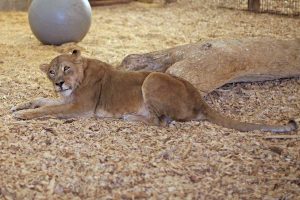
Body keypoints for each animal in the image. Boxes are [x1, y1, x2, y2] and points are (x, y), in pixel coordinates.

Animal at [10, 49, 296, 133]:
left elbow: (46, 110)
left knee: (162, 121)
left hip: (153, 78)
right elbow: (41, 100)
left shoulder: (80, 108)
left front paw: (22, 116)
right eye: (51, 72)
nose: (59, 83)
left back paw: (129, 117)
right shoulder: (67, 100)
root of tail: (199, 98)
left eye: (66, 68)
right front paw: (19, 106)